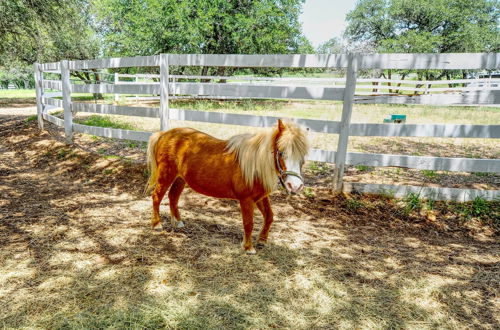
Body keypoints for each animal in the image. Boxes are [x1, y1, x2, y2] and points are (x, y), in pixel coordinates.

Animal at [145, 120, 308, 254]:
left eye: (303, 156)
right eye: (281, 152)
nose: (295, 186)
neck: (254, 165)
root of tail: (164, 134)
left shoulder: (260, 197)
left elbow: (269, 216)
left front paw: (262, 240)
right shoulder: (246, 200)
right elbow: (248, 223)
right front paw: (248, 247)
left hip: (180, 179)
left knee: (173, 196)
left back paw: (178, 222)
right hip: (166, 176)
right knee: (157, 196)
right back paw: (156, 224)